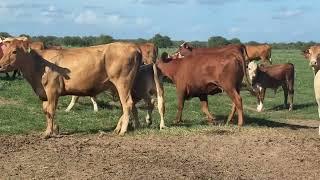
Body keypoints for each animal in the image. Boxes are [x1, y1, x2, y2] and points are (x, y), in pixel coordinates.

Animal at [0, 39, 141, 138]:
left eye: (14, 51)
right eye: (4, 51)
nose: (0, 65)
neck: (39, 64)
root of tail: (134, 47)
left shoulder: (52, 91)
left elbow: (50, 110)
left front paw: (49, 133)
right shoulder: (44, 94)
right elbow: (46, 111)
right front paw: (53, 129)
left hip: (122, 82)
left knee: (127, 104)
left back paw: (123, 131)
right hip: (120, 85)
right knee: (127, 105)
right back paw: (122, 128)